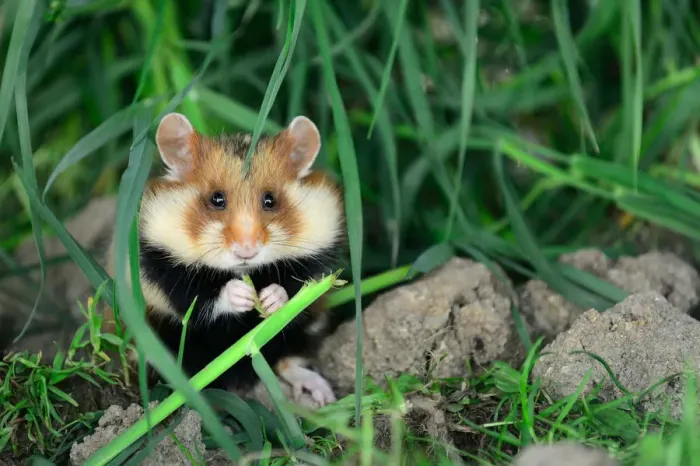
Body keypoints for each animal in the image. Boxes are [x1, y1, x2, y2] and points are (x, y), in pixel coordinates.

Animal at [106, 112, 345, 407]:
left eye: (270, 200)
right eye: (216, 199)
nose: (246, 251)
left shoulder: (316, 262)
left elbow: (297, 290)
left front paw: (269, 298)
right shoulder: (160, 268)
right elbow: (197, 299)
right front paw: (242, 294)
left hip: (298, 334)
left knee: (287, 360)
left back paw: (324, 395)